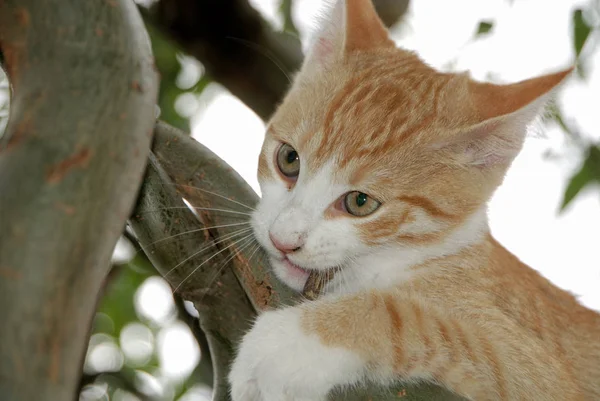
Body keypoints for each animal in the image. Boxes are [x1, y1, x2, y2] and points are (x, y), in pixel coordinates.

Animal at [227, 1, 596, 398]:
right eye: (289, 159)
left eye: (360, 203)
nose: (283, 240)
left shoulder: (536, 372)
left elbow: (412, 319)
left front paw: (286, 345)